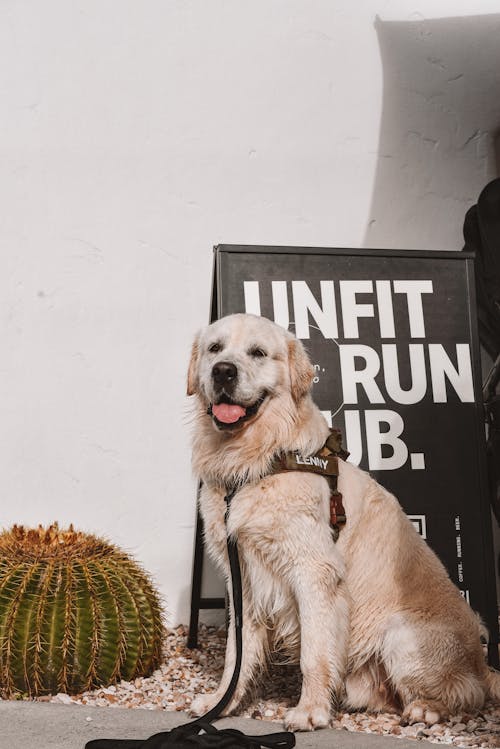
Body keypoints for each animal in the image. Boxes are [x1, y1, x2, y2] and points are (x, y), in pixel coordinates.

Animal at [186, 312, 498, 732]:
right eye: (215, 348)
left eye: (258, 352)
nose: (223, 371)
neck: (255, 462)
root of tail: (483, 662)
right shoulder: (244, 578)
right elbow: (237, 654)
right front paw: (223, 702)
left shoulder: (314, 571)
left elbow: (314, 654)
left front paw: (310, 711)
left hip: (402, 634)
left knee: (468, 692)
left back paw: (427, 709)